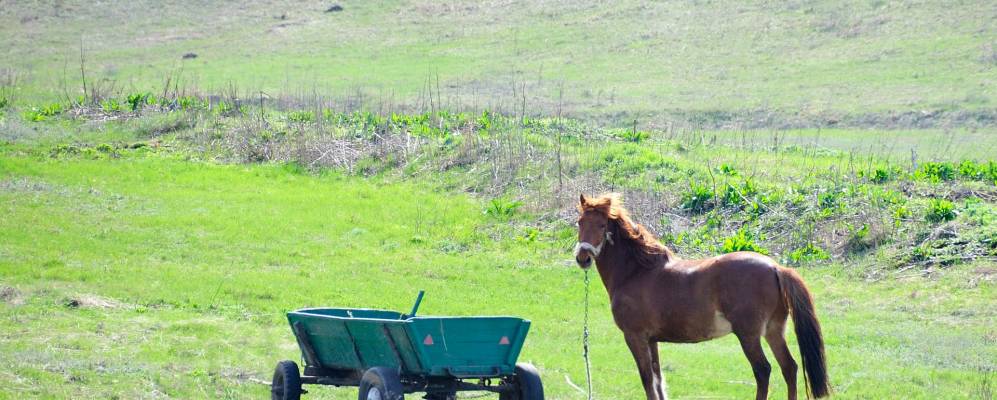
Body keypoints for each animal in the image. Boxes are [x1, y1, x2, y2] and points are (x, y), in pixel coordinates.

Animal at [572, 192, 828, 398]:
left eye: (602, 225)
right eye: (580, 222)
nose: (582, 258)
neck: (636, 271)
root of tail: (776, 268)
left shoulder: (635, 337)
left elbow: (647, 380)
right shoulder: (652, 340)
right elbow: (658, 380)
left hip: (749, 335)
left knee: (763, 371)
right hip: (773, 331)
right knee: (789, 368)